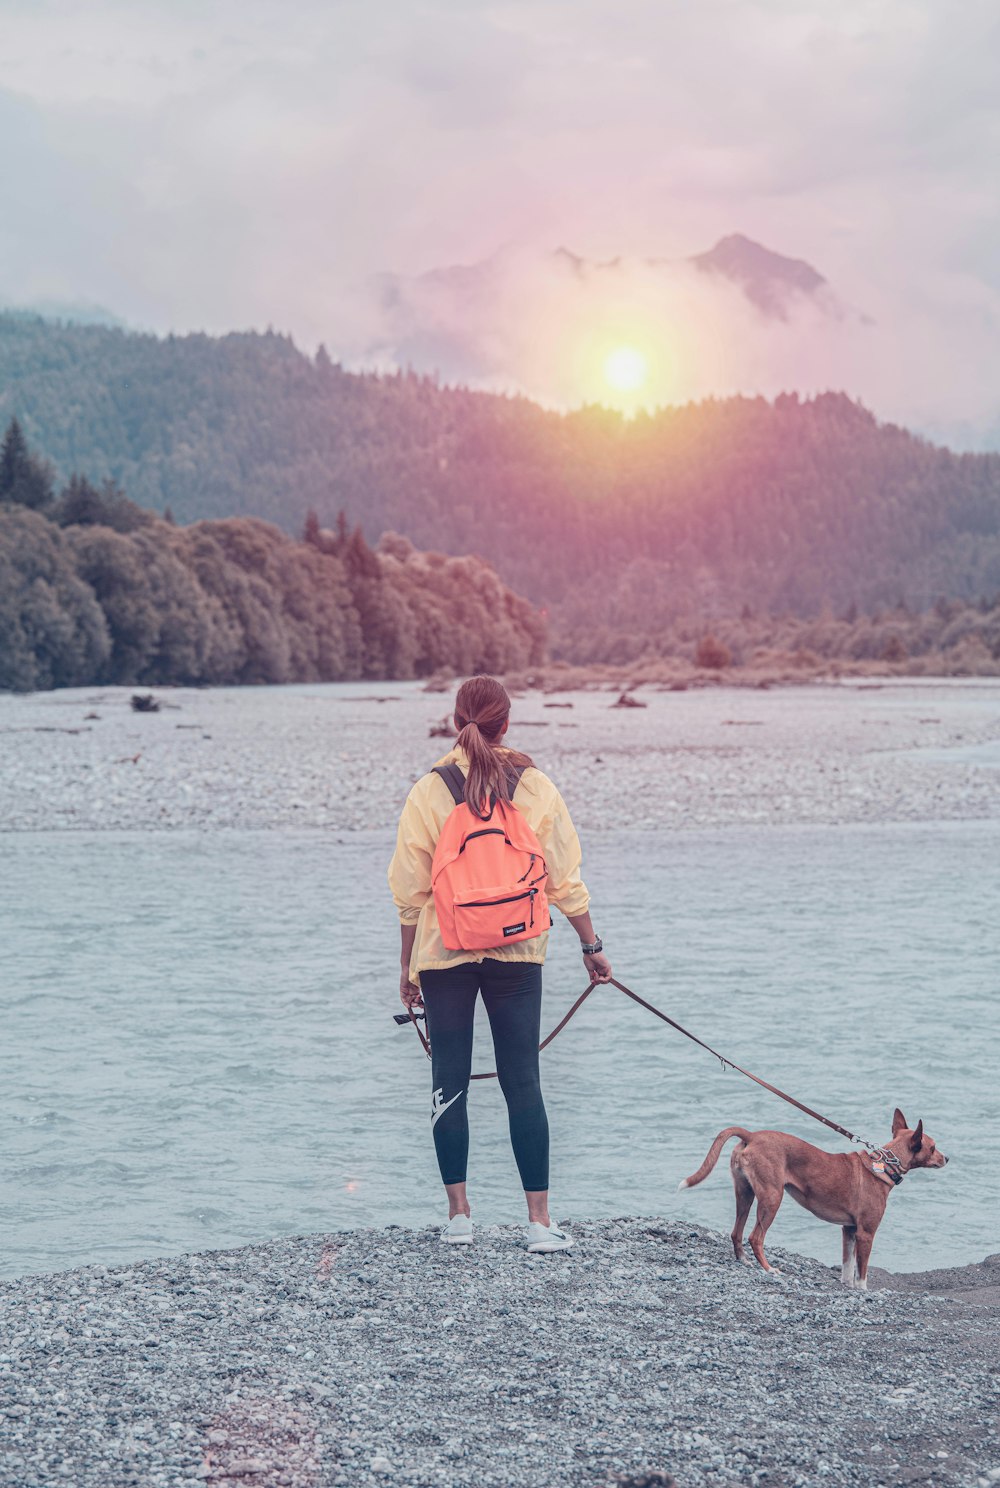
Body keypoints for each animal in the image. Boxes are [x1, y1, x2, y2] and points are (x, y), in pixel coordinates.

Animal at [678, 1113, 946, 1285]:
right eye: (933, 1148)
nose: (948, 1158)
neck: (885, 1165)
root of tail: (752, 1135)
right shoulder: (866, 1233)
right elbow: (862, 1273)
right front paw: (862, 1291)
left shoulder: (848, 1229)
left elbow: (847, 1268)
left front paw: (847, 1287)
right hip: (772, 1198)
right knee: (756, 1237)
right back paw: (769, 1268)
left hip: (745, 1194)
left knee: (737, 1232)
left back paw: (744, 1260)